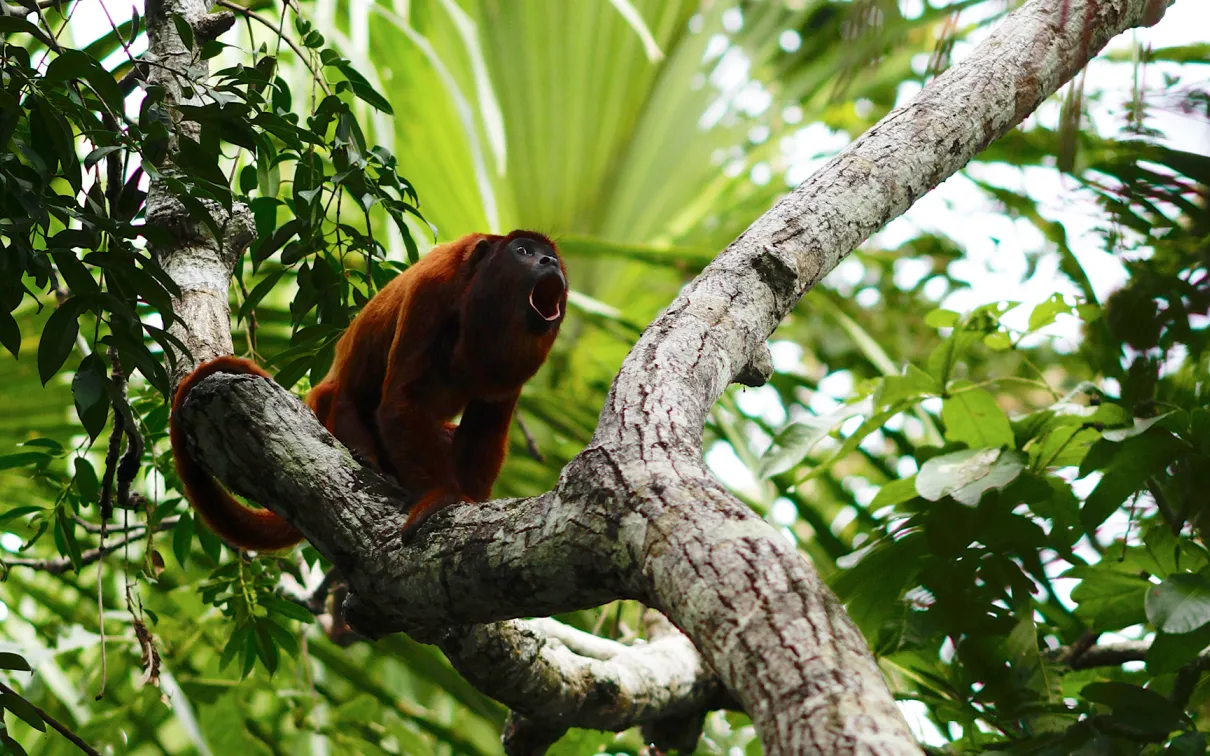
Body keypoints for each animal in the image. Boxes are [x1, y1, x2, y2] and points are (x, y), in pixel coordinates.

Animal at [170, 231, 568, 550]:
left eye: (549, 256)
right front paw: (444, 497)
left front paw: (470, 500)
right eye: (523, 251)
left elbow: (486, 426)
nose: (549, 261)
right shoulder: (432, 290)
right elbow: (401, 403)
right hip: (328, 405)